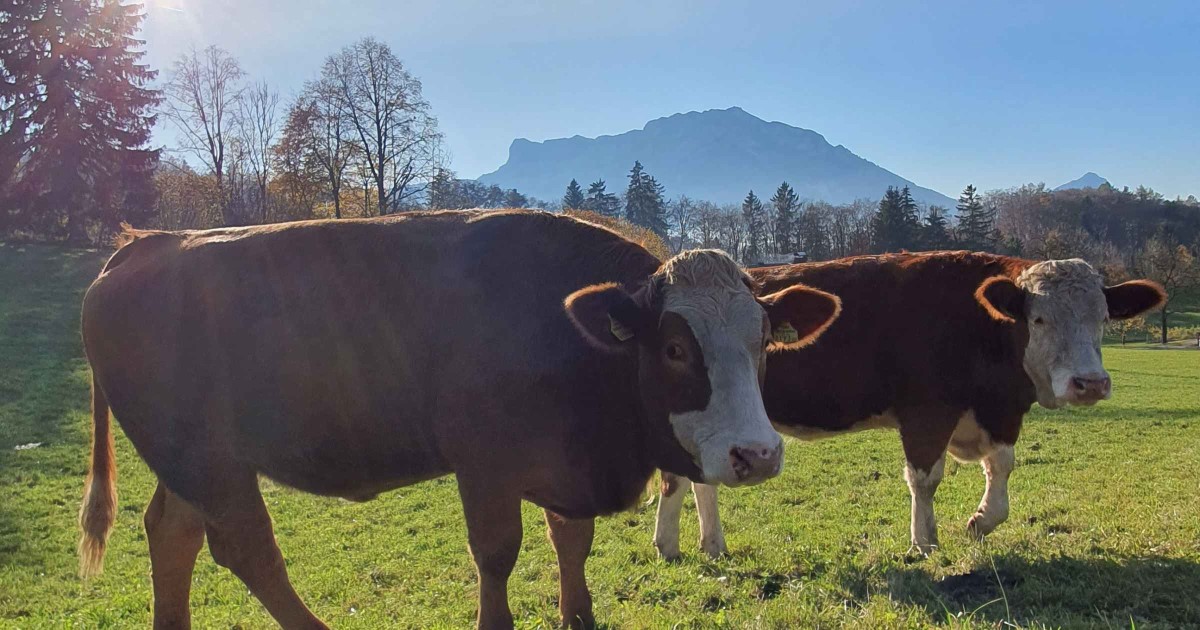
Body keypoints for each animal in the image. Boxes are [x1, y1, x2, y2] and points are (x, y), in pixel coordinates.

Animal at [79, 211, 840, 628]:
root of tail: (148, 243)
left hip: (193, 460)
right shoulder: (485, 465)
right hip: (209, 461)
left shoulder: (566, 462)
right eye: (677, 348)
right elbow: (497, 555)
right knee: (246, 549)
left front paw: (579, 615)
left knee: (172, 533)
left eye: (764, 341)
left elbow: (572, 543)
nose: (757, 455)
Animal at [652, 248, 1166, 556]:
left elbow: (1001, 468)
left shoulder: (999, 413)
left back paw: (710, 543)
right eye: (1038, 319)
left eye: (1103, 318)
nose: (1090, 383)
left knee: (700, 478)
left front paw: (981, 521)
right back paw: (672, 544)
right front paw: (924, 541)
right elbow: (925, 478)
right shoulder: (927, 413)